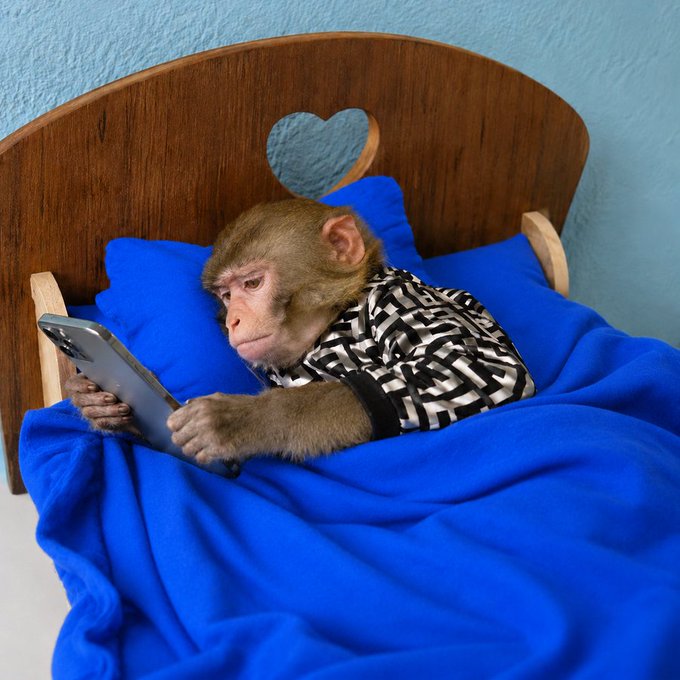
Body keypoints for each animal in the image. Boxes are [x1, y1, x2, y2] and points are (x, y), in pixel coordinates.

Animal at [66, 198, 535, 472]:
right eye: (226, 294)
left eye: (253, 284)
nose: (233, 320)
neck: (332, 322)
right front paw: (96, 403)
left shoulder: (397, 299)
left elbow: (477, 363)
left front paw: (245, 420)